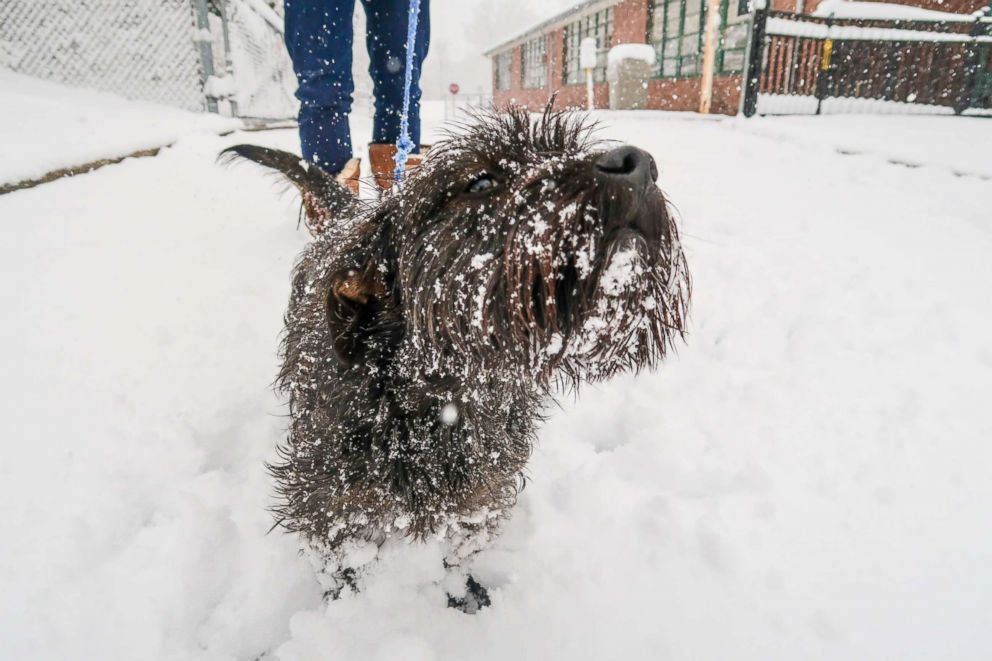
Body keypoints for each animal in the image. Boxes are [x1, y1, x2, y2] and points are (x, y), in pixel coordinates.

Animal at [223, 105, 688, 604]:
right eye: (480, 182)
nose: (638, 163)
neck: (443, 395)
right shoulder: (329, 502)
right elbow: (343, 566)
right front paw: (346, 613)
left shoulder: (481, 491)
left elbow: (458, 550)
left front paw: (463, 597)